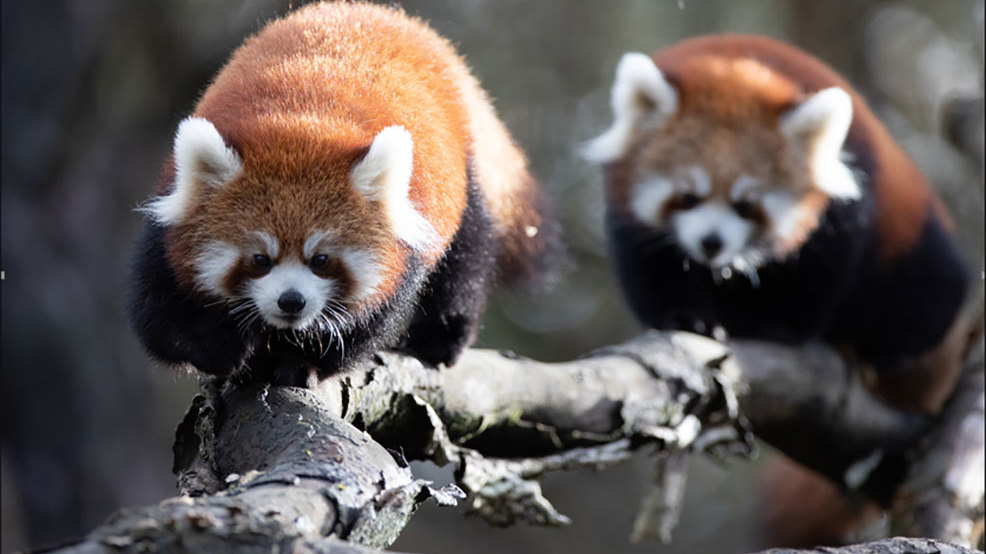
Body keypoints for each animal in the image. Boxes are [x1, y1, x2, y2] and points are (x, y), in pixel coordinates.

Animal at [126, 2, 552, 384]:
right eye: (260, 259)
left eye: (322, 260)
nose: (291, 301)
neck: (296, 128)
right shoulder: (170, 217)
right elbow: (161, 316)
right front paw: (221, 349)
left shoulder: (404, 245)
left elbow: (370, 319)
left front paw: (297, 362)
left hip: (467, 181)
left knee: (465, 265)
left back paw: (439, 342)